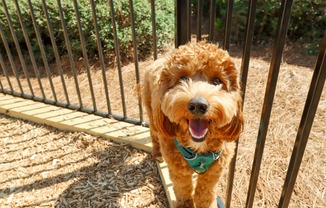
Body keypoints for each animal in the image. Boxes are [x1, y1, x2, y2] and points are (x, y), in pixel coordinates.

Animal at [141, 41, 243, 208]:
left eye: (217, 81)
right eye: (183, 78)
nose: (198, 105)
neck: (198, 151)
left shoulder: (213, 173)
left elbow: (205, 195)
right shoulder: (179, 171)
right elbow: (183, 191)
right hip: (153, 114)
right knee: (153, 133)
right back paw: (157, 153)